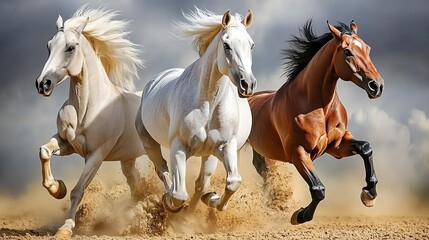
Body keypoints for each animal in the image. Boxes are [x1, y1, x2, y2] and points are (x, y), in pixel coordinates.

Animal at [34, 7, 144, 236]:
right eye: (49, 46)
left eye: (70, 47)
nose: (42, 84)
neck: (86, 109)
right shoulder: (66, 143)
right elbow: (44, 151)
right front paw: (57, 188)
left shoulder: (96, 155)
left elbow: (78, 190)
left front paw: (65, 229)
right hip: (128, 159)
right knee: (136, 185)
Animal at [135, 8, 254, 213]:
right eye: (226, 45)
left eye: (251, 45)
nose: (247, 84)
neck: (208, 105)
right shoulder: (179, 148)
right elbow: (178, 194)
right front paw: (169, 202)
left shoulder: (225, 146)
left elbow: (233, 182)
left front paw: (212, 198)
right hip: (149, 142)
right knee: (162, 169)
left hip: (209, 154)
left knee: (201, 182)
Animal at [247, 20, 384, 225]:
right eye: (347, 52)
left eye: (367, 49)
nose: (377, 86)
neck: (318, 106)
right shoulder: (298, 153)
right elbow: (318, 189)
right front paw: (300, 215)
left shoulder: (336, 146)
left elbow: (365, 148)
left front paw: (369, 195)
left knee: (263, 171)